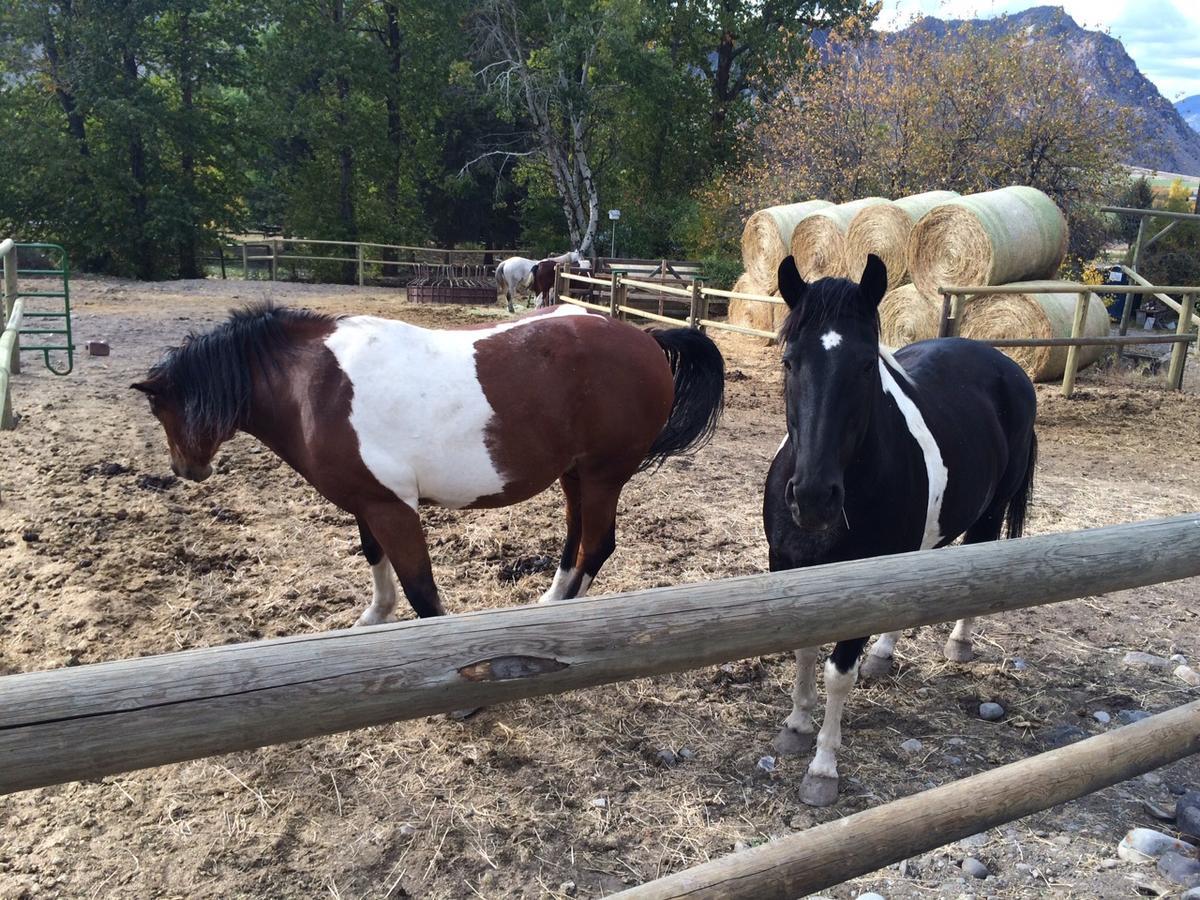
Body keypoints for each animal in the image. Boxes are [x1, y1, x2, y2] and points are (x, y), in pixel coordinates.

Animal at [131, 303, 720, 628]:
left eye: (161, 410)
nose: (185, 469)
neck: (314, 387)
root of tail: (648, 337)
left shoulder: (394, 508)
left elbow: (420, 587)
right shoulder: (368, 502)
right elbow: (377, 563)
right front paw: (373, 618)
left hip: (602, 475)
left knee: (596, 545)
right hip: (574, 475)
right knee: (576, 542)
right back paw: (550, 602)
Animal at [768, 255, 1041, 811]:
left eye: (863, 366)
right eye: (789, 361)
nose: (813, 498)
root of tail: (1005, 365)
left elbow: (837, 673)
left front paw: (823, 767)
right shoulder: (792, 570)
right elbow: (804, 651)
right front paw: (796, 725)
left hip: (988, 515)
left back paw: (957, 645)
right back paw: (883, 654)